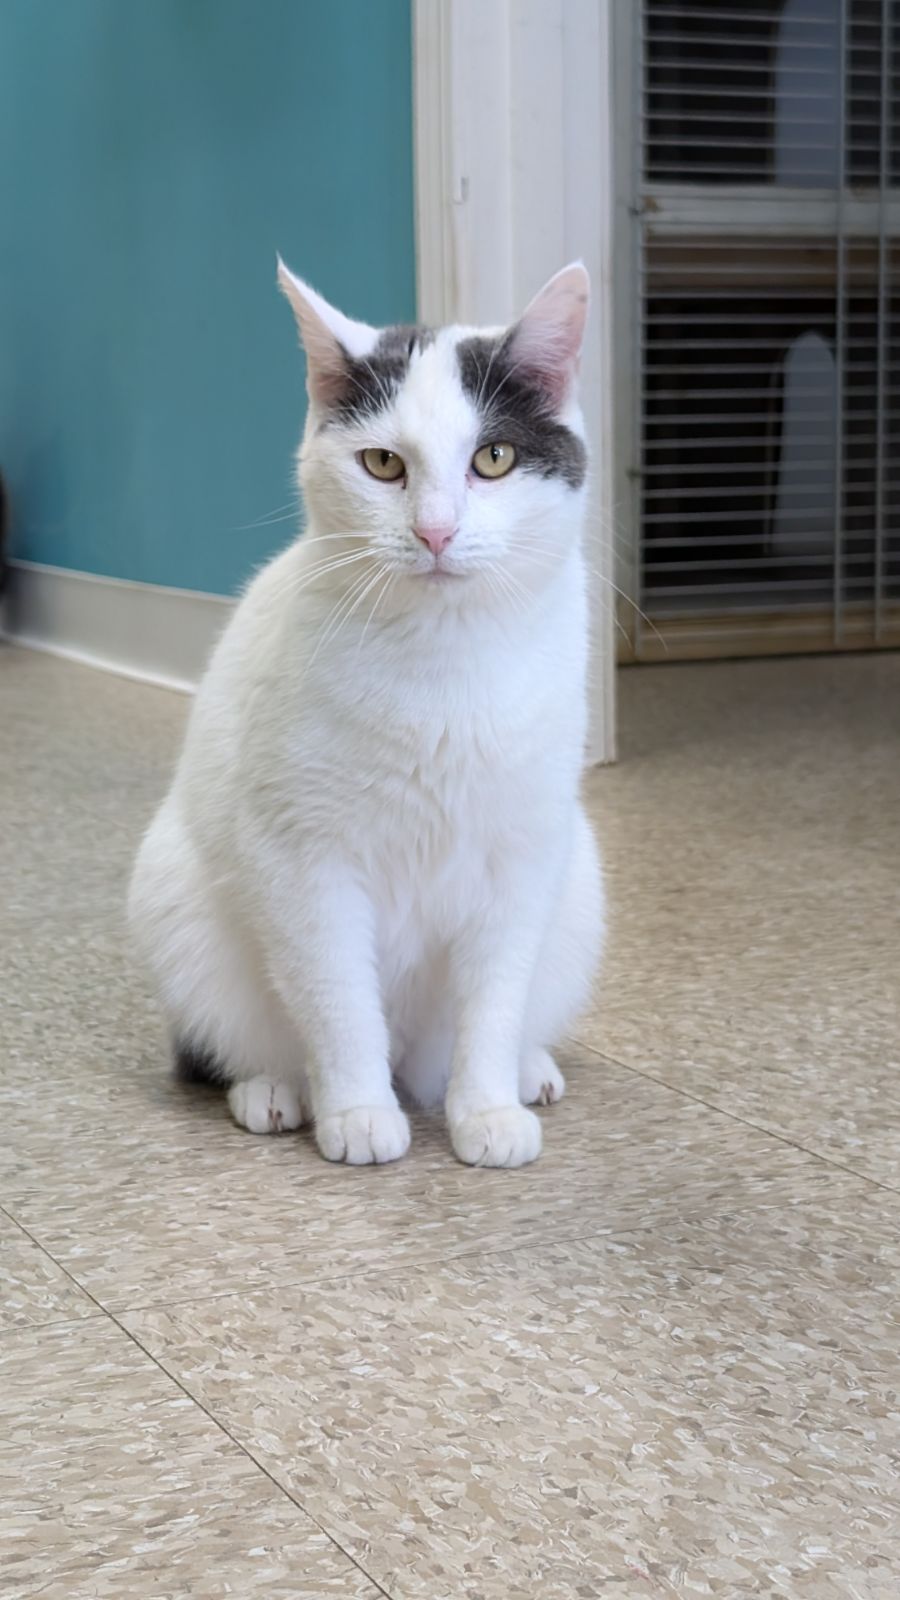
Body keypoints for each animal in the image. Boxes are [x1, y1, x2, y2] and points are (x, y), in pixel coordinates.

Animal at [128, 256, 602, 1171]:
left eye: (494, 457)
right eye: (383, 463)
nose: (436, 532)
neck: (444, 660)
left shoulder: (523, 854)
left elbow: (493, 997)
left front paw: (486, 1108)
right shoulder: (302, 859)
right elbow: (336, 994)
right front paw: (356, 1110)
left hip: (580, 879)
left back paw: (524, 1070)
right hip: (174, 892)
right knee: (241, 1036)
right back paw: (276, 1089)